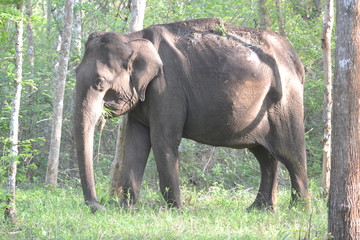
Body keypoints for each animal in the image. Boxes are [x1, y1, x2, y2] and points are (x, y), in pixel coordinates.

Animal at [74, 17, 310, 212]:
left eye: (100, 82)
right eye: (75, 72)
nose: (98, 206)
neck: (134, 38)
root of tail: (296, 59)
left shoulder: (167, 89)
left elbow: (162, 140)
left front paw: (176, 210)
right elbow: (136, 142)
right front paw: (128, 209)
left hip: (285, 100)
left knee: (290, 152)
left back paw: (299, 210)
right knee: (265, 156)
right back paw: (259, 209)